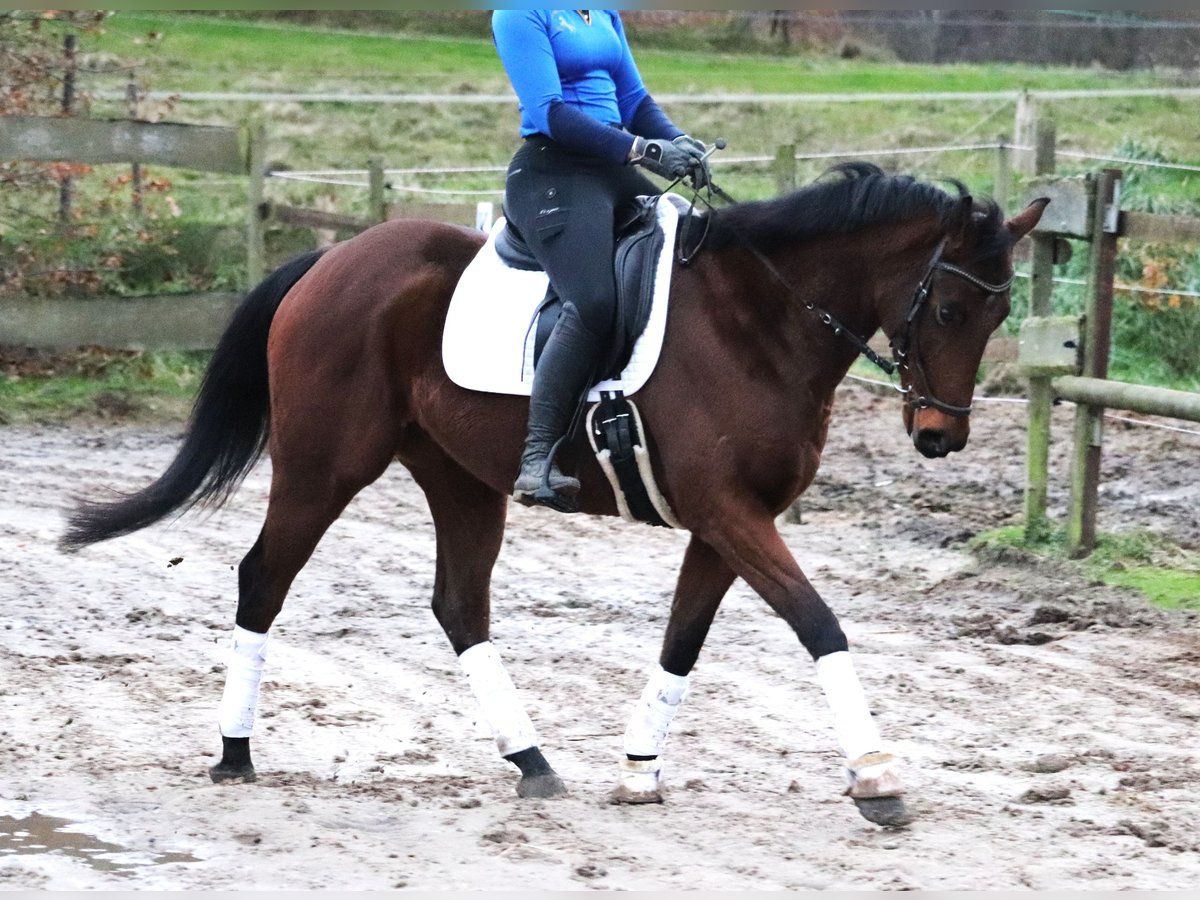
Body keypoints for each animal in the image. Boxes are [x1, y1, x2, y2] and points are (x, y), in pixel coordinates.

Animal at [60, 164, 1046, 830]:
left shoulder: (723, 523)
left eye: (1000, 316)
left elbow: (683, 642)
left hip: (459, 479)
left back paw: (532, 761)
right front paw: (878, 776)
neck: (761, 322)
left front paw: (640, 769)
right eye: (950, 311)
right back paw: (235, 753)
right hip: (322, 465)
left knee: (460, 605)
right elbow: (819, 623)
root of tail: (332, 259)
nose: (941, 437)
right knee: (263, 579)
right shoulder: (730, 514)